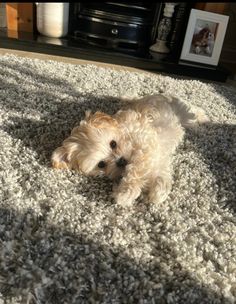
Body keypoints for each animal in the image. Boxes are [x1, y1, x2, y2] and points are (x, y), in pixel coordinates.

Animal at [51, 95, 206, 208]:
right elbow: (160, 173)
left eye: (113, 144)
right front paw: (158, 192)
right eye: (101, 164)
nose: (121, 161)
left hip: (183, 112)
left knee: (192, 111)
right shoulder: (157, 157)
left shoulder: (146, 142)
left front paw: (125, 193)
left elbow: (136, 168)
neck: (125, 133)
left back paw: (204, 118)